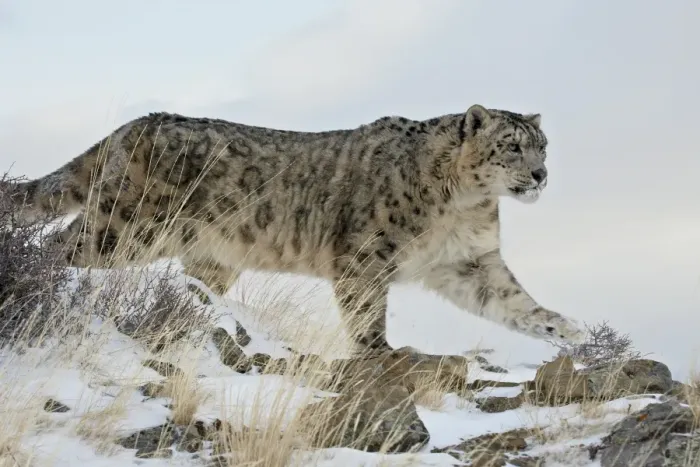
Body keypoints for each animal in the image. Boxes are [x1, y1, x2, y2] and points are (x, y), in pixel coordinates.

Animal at [3, 104, 586, 355]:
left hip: (209, 256)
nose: (541, 174)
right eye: (512, 145)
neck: (465, 205)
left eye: (543, 145)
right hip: (125, 227)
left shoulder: (468, 261)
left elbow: (512, 301)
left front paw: (564, 328)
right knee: (58, 246)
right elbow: (366, 313)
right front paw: (379, 352)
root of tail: (131, 126)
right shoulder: (365, 255)